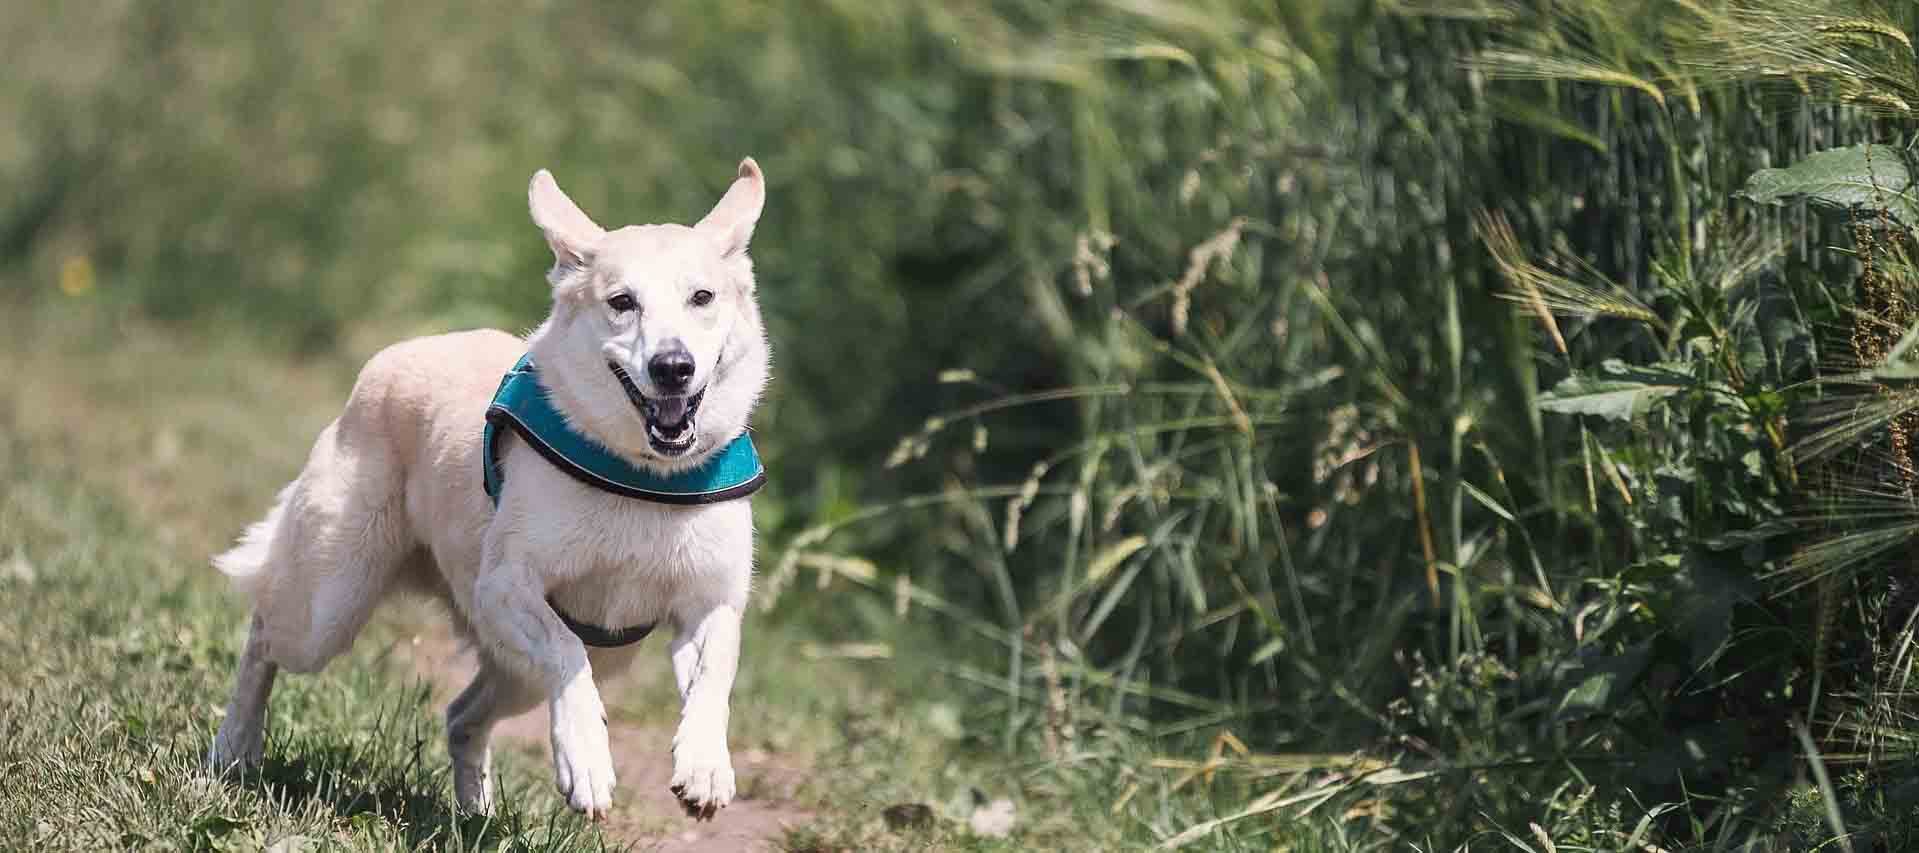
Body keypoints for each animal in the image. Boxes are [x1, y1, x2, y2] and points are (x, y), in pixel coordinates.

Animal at [208, 158, 771, 816]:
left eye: (702, 297)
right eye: (622, 302)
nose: (673, 367)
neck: (642, 477)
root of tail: (393, 357)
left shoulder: (710, 603)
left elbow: (716, 672)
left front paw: (705, 766)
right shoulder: (505, 587)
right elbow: (565, 650)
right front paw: (586, 761)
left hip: (543, 665)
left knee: (462, 716)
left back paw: (475, 813)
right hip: (329, 606)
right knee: (263, 635)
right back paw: (233, 748)